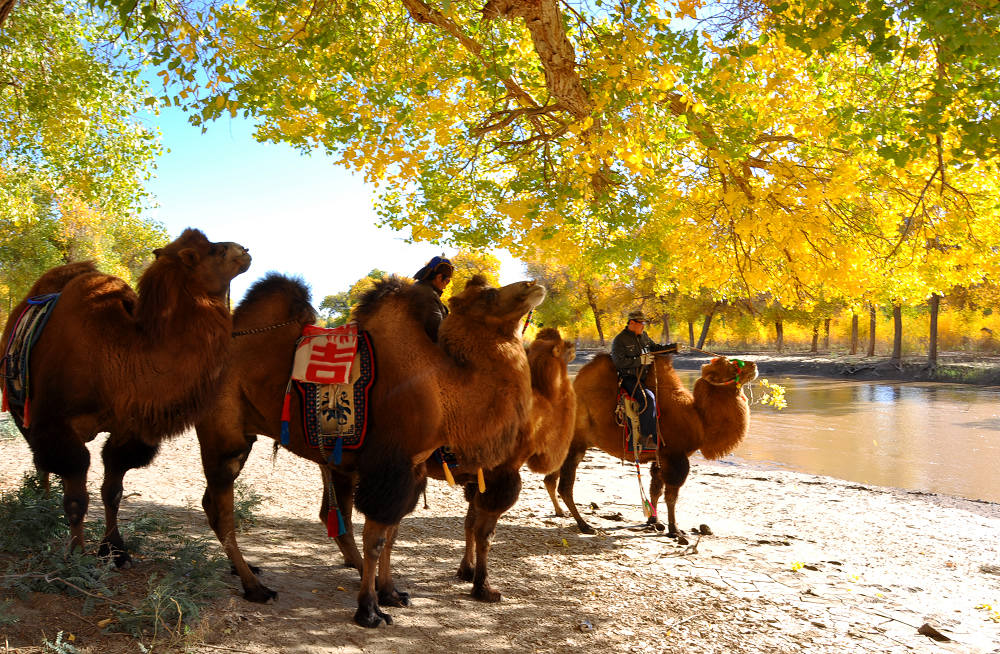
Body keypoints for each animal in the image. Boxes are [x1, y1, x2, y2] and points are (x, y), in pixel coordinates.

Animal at [0, 231, 250, 564]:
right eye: (214, 250)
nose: (244, 250)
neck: (116, 355)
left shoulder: (128, 427)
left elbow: (112, 491)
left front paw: (115, 550)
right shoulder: (58, 423)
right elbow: (76, 497)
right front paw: (76, 554)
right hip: (21, 409)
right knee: (40, 460)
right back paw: (41, 507)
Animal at [191, 272, 544, 632]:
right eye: (488, 295)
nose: (533, 285)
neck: (444, 386)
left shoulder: (411, 469)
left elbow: (392, 533)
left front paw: (391, 592)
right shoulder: (392, 466)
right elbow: (378, 538)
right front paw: (370, 610)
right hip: (225, 438)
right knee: (222, 511)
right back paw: (256, 588)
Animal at [548, 354, 756, 544]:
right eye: (732, 365)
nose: (754, 365)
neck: (699, 419)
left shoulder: (660, 457)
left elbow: (655, 489)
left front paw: (653, 520)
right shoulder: (675, 457)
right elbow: (671, 496)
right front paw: (675, 530)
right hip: (575, 445)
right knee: (565, 487)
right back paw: (585, 525)